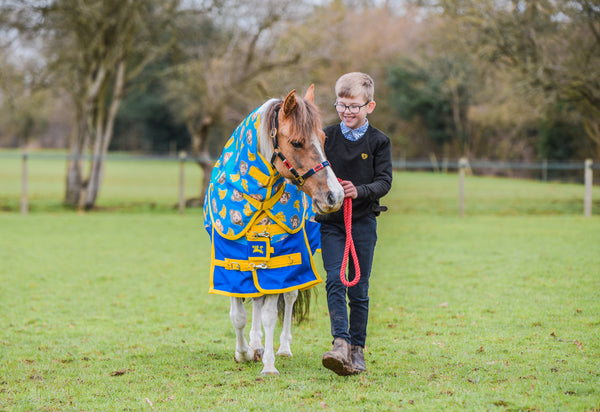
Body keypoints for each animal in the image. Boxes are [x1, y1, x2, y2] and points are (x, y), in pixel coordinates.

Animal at [203, 85, 344, 374]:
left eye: (324, 139)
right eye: (297, 142)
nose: (335, 196)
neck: (256, 199)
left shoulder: (281, 261)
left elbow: (270, 314)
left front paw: (268, 364)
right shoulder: (230, 261)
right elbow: (238, 315)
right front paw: (244, 352)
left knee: (288, 298)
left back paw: (283, 348)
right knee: (256, 298)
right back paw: (255, 343)